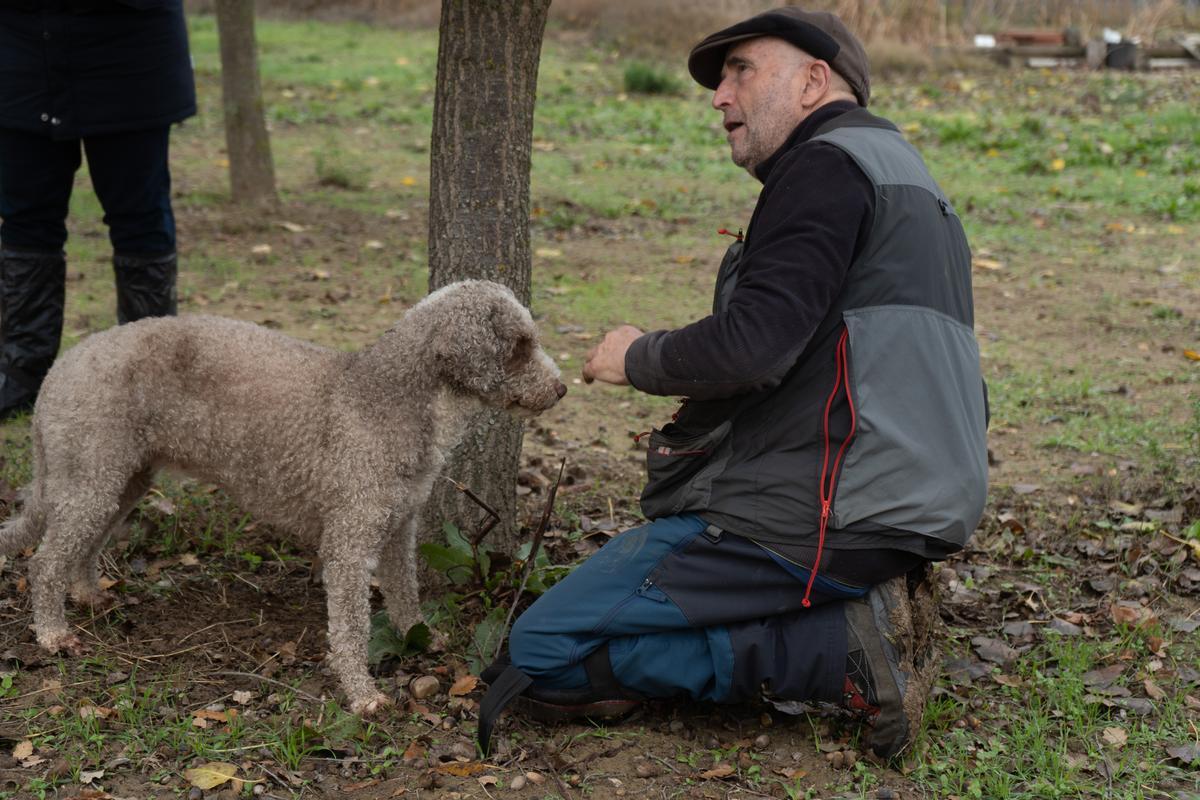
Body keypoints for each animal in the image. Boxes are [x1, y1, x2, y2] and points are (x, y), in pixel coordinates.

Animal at [1, 281, 566, 714]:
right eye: (519, 345)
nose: (561, 389)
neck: (387, 398)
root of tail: (60, 367)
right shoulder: (350, 540)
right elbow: (352, 627)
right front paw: (361, 694)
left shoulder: (399, 526)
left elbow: (404, 590)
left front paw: (419, 635)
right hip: (94, 475)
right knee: (46, 562)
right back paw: (52, 633)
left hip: (119, 478)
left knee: (84, 546)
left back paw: (87, 594)